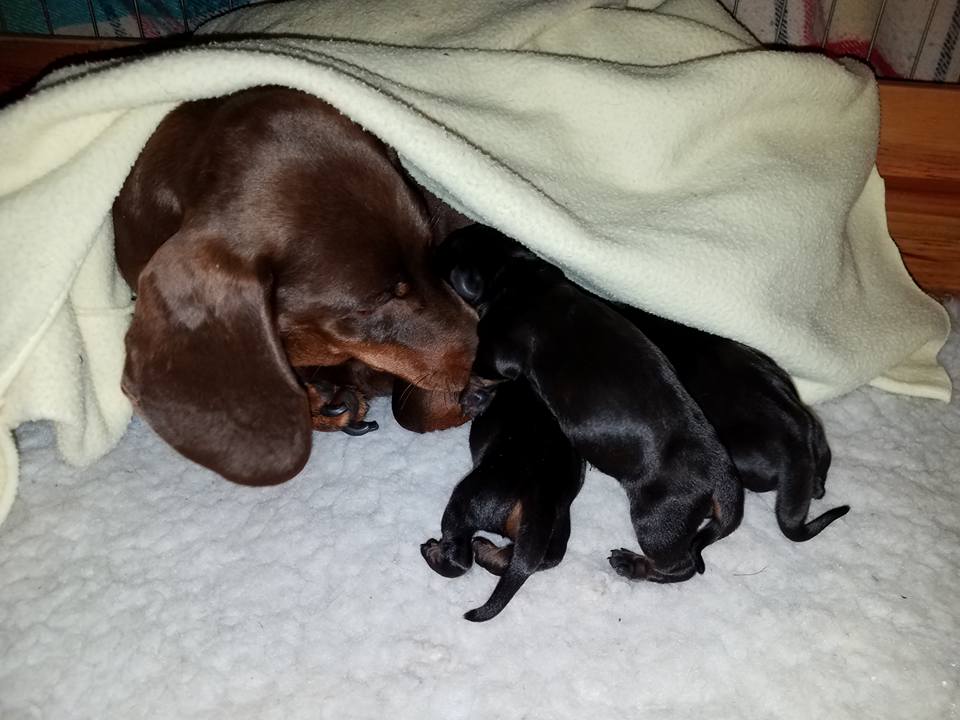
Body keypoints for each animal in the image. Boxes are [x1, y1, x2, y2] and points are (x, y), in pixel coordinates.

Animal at [422, 380, 584, 620]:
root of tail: (540, 493)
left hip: (466, 499)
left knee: (460, 557)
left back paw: (433, 553)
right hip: (560, 523)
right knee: (547, 557)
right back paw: (489, 554)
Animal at [438, 226, 748, 584]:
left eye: (444, 255)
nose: (435, 246)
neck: (516, 273)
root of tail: (722, 478)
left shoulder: (496, 351)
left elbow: (480, 373)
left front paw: (469, 398)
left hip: (657, 520)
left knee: (678, 566)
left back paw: (632, 564)